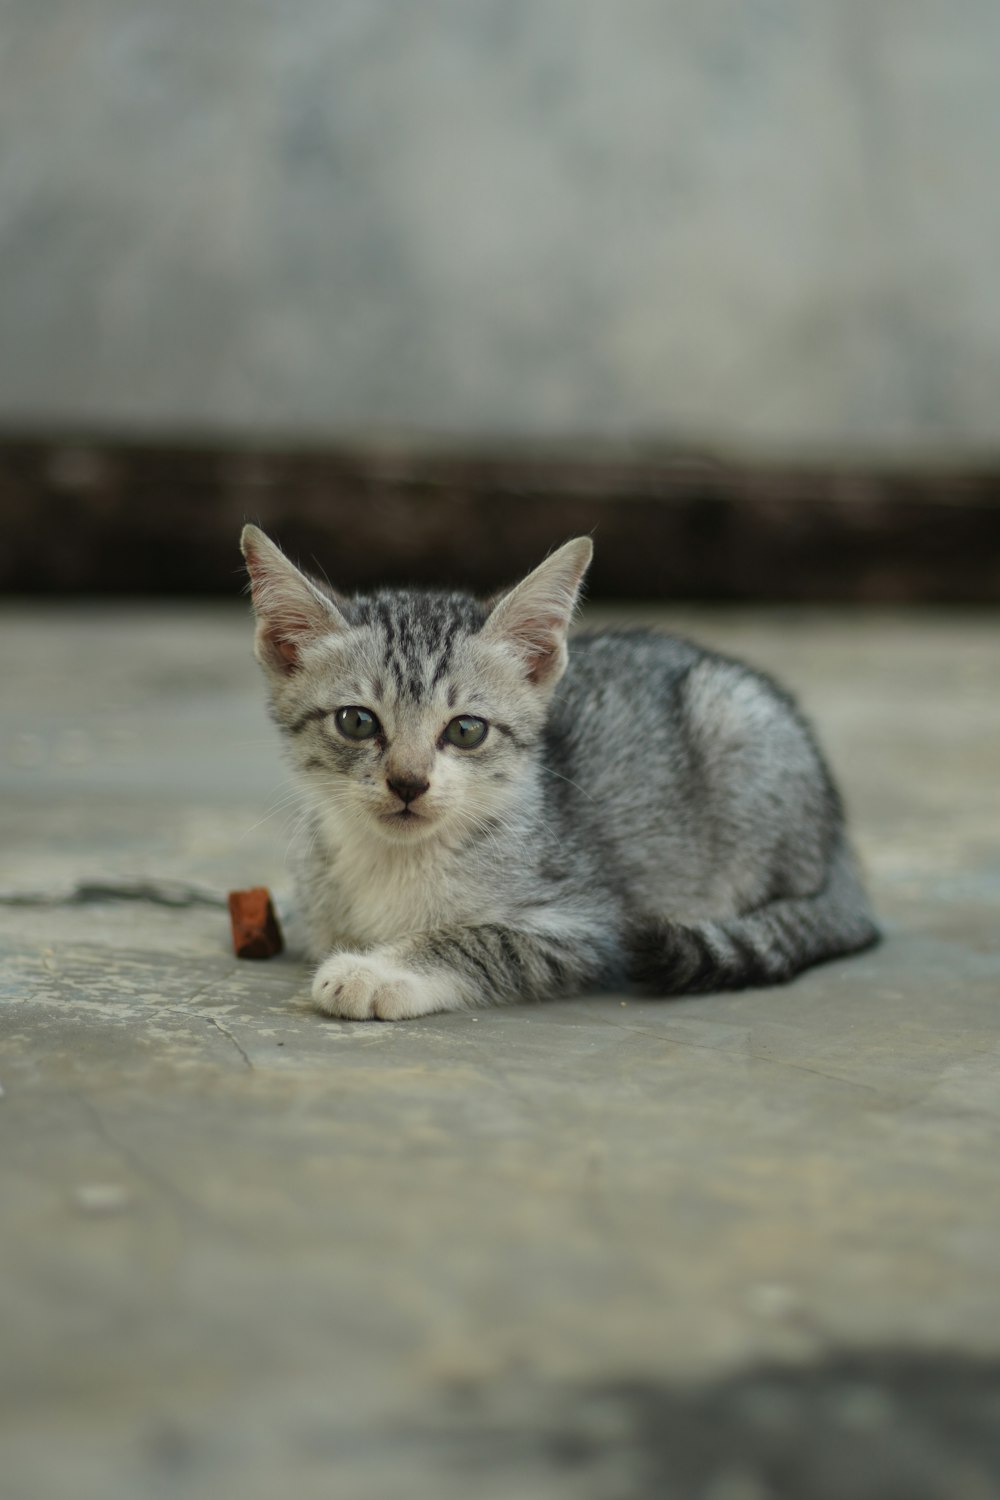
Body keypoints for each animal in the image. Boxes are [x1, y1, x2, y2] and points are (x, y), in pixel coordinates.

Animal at [239, 522, 875, 1026]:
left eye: (466, 730)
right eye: (356, 721)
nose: (408, 783)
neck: (399, 862)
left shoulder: (588, 925)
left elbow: (483, 940)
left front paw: (379, 972)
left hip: (735, 720)